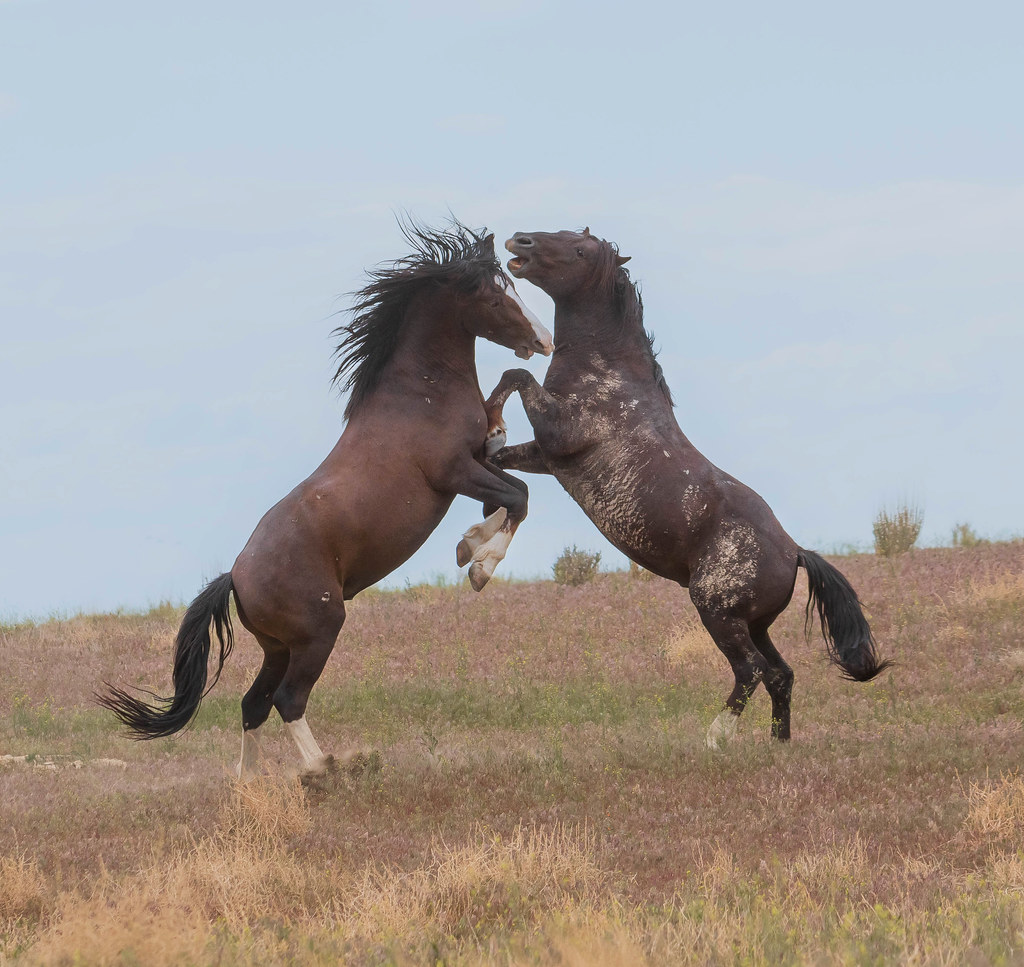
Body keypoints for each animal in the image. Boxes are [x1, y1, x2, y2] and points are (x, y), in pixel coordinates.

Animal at [99, 222, 553, 778]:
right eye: (494, 296)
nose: (544, 340)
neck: (419, 394)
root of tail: (236, 577)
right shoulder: (453, 473)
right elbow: (517, 498)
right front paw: (478, 564)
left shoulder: (475, 461)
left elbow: (512, 477)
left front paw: (471, 544)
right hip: (319, 632)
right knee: (287, 700)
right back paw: (324, 771)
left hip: (277, 647)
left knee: (253, 704)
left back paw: (252, 784)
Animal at [484, 227, 892, 748]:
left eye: (579, 250)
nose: (522, 241)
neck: (609, 376)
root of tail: (795, 552)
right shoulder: (546, 457)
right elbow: (499, 457)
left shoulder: (559, 432)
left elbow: (517, 376)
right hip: (753, 623)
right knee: (781, 674)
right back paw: (777, 745)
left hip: (719, 615)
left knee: (752, 671)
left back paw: (715, 739)